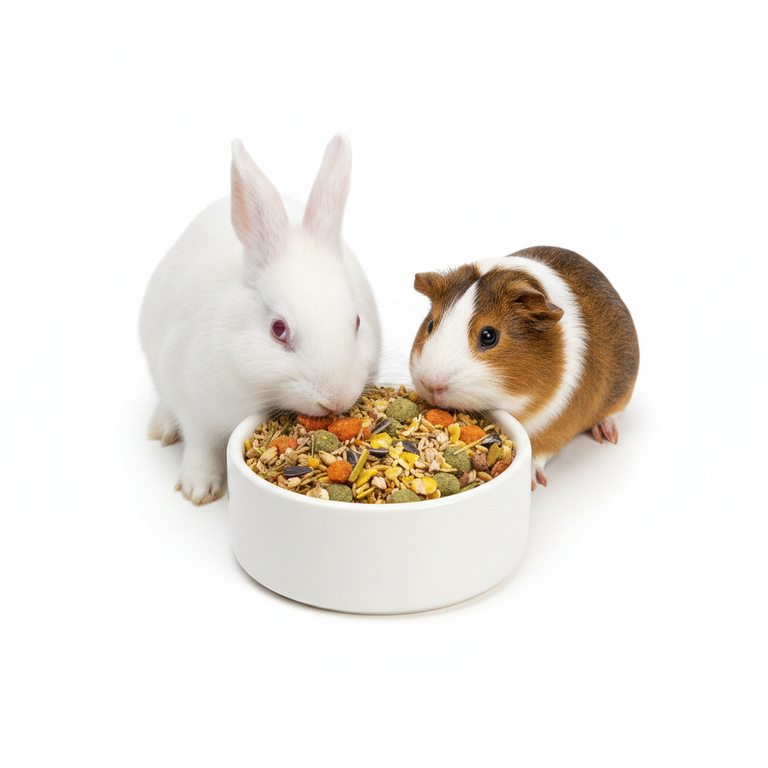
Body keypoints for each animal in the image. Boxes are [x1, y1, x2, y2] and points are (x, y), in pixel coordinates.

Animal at [139, 134, 382, 505]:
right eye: (278, 329)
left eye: (356, 322)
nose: (335, 400)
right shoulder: (197, 407)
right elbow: (200, 447)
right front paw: (199, 490)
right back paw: (162, 429)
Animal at [408, 246, 639, 490]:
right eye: (430, 325)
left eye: (489, 336)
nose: (431, 385)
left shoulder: (553, 422)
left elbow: (538, 449)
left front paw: (532, 483)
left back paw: (608, 435)